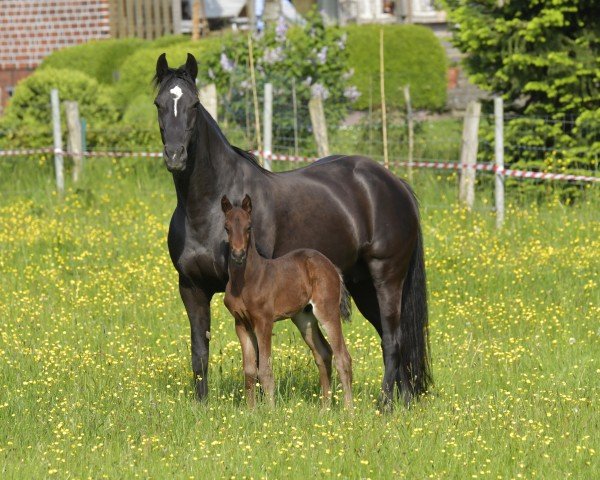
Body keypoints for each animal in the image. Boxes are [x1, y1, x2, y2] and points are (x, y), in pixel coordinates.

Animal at [220, 195, 352, 408]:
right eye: (227, 227)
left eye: (249, 227)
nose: (238, 254)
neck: (247, 280)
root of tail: (330, 265)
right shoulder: (241, 323)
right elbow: (249, 371)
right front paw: (250, 411)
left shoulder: (264, 322)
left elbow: (265, 370)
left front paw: (270, 411)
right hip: (304, 318)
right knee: (323, 353)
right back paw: (324, 409)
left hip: (327, 311)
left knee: (343, 357)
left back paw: (349, 411)